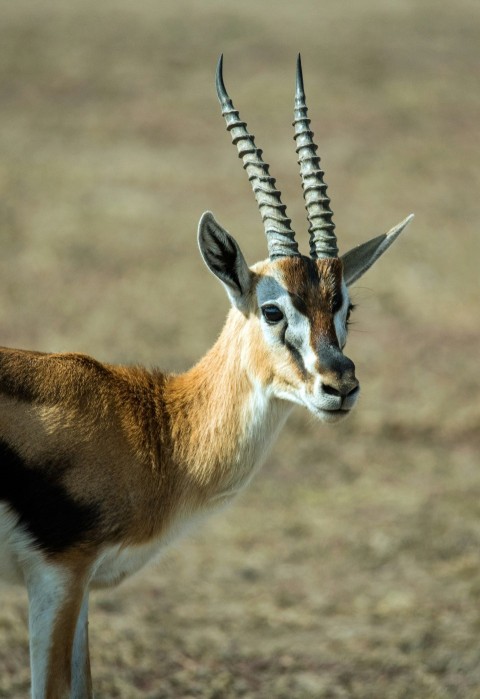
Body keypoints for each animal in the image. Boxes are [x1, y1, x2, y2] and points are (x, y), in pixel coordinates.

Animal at [0, 55, 413, 698]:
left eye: (346, 306)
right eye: (273, 310)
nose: (340, 387)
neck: (152, 425)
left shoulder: (82, 586)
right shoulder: (58, 575)